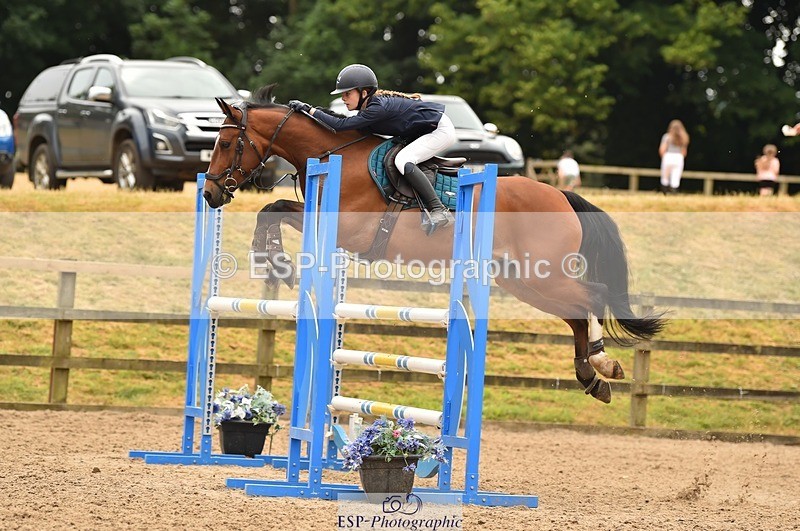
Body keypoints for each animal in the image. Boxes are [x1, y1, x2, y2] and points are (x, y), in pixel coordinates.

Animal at [203, 84, 665, 404]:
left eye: (225, 143)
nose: (209, 194)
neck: (335, 153)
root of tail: (561, 195)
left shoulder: (349, 229)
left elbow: (275, 208)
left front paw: (276, 261)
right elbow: (274, 208)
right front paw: (272, 259)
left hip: (544, 274)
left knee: (594, 295)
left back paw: (602, 362)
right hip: (523, 280)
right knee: (575, 313)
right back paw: (592, 378)